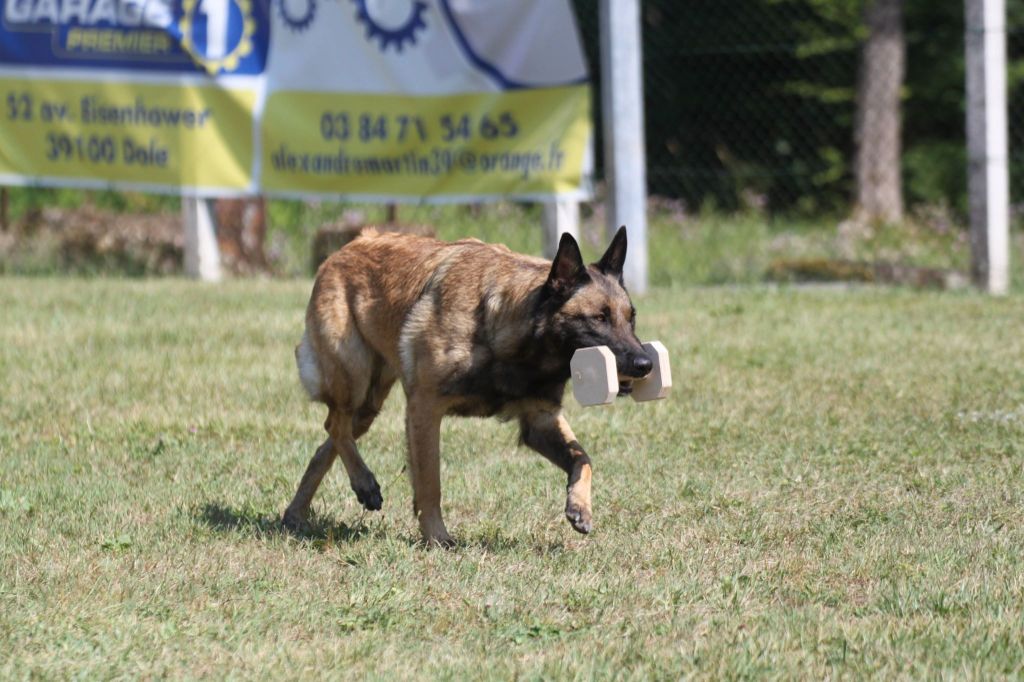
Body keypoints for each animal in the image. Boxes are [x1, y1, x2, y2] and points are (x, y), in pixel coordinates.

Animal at [282, 225, 647, 544]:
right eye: (599, 318)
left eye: (631, 318)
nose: (646, 364)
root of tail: (351, 244)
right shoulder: (425, 409)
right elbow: (430, 482)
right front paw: (436, 537)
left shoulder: (540, 420)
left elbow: (582, 459)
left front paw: (579, 507)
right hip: (354, 378)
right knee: (335, 424)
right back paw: (363, 483)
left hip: (368, 404)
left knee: (328, 442)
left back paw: (298, 512)